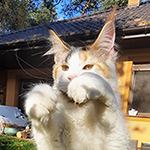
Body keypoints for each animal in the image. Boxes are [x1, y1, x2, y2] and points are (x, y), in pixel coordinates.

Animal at [25, 7, 129, 149]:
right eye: (65, 67)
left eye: (88, 67)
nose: (71, 78)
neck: (79, 113)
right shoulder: (51, 145)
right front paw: (39, 99)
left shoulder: (117, 140)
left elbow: (109, 107)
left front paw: (82, 84)